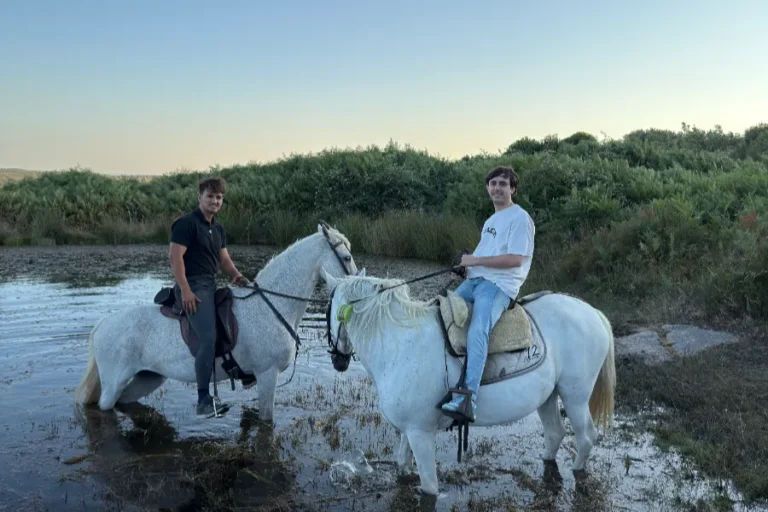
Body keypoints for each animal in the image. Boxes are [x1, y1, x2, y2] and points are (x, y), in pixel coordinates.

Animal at [74, 224, 358, 422]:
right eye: (346, 258)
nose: (359, 280)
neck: (271, 306)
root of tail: (101, 325)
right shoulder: (267, 375)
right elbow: (267, 422)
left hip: (148, 377)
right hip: (114, 382)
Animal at [321, 270, 616, 495]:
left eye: (326, 310)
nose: (337, 360)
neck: (399, 343)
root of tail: (593, 312)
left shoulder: (421, 434)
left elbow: (429, 488)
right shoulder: (409, 430)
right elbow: (402, 465)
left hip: (575, 396)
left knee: (586, 437)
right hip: (548, 396)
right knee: (555, 433)